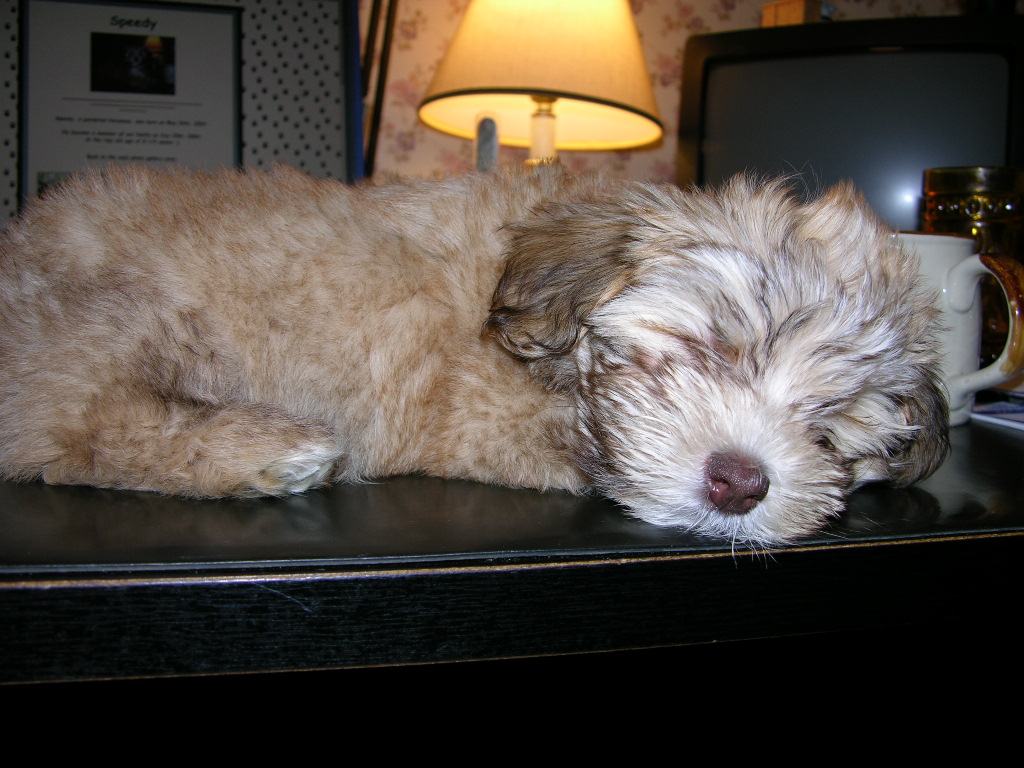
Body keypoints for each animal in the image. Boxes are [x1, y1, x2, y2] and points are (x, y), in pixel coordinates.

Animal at [0, 163, 949, 546]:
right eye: (705, 347)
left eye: (829, 425)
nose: (741, 482)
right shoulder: (470, 409)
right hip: (132, 315)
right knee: (67, 431)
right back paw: (264, 450)